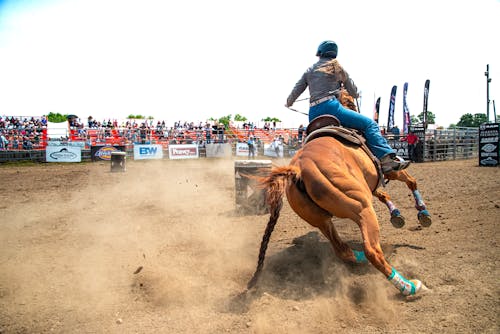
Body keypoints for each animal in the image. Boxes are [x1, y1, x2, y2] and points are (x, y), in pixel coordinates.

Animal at [248, 119, 432, 294]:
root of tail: (298, 170)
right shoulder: (391, 172)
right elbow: (411, 181)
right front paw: (422, 213)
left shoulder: (370, 186)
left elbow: (384, 195)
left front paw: (396, 214)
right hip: (363, 208)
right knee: (372, 251)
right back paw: (410, 286)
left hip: (321, 220)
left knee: (342, 249)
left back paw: (359, 257)